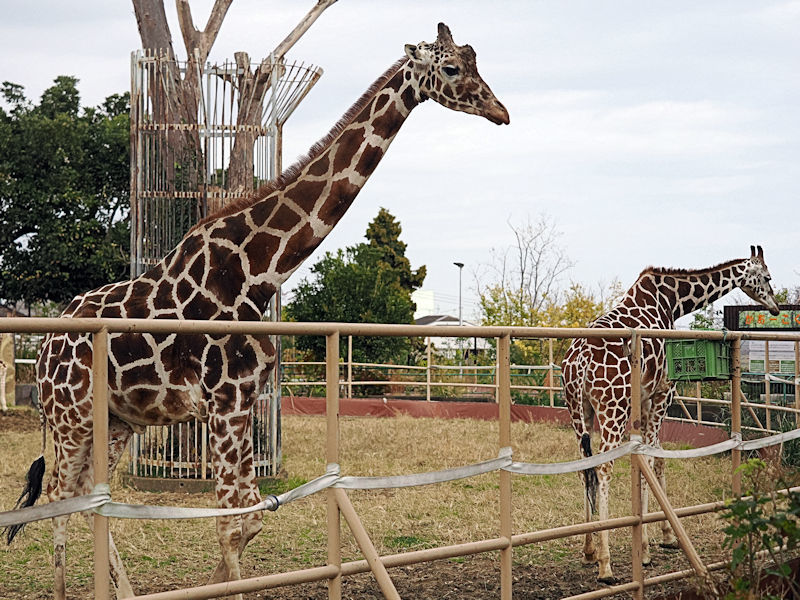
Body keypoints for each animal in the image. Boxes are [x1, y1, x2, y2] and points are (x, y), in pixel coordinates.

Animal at [4, 21, 506, 596]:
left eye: (475, 59)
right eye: (452, 67)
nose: (500, 111)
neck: (258, 273)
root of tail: (44, 346)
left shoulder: (244, 401)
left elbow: (249, 520)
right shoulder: (224, 403)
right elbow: (229, 524)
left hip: (119, 419)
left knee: (89, 498)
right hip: (72, 416)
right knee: (58, 498)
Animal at [560, 244, 780, 580]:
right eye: (767, 276)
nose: (776, 307)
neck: (671, 303)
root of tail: (579, 361)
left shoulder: (646, 398)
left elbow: (657, 458)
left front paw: (665, 536)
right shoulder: (663, 392)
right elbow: (651, 459)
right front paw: (647, 549)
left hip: (578, 408)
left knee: (585, 466)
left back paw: (588, 551)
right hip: (613, 406)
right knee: (604, 467)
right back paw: (605, 564)